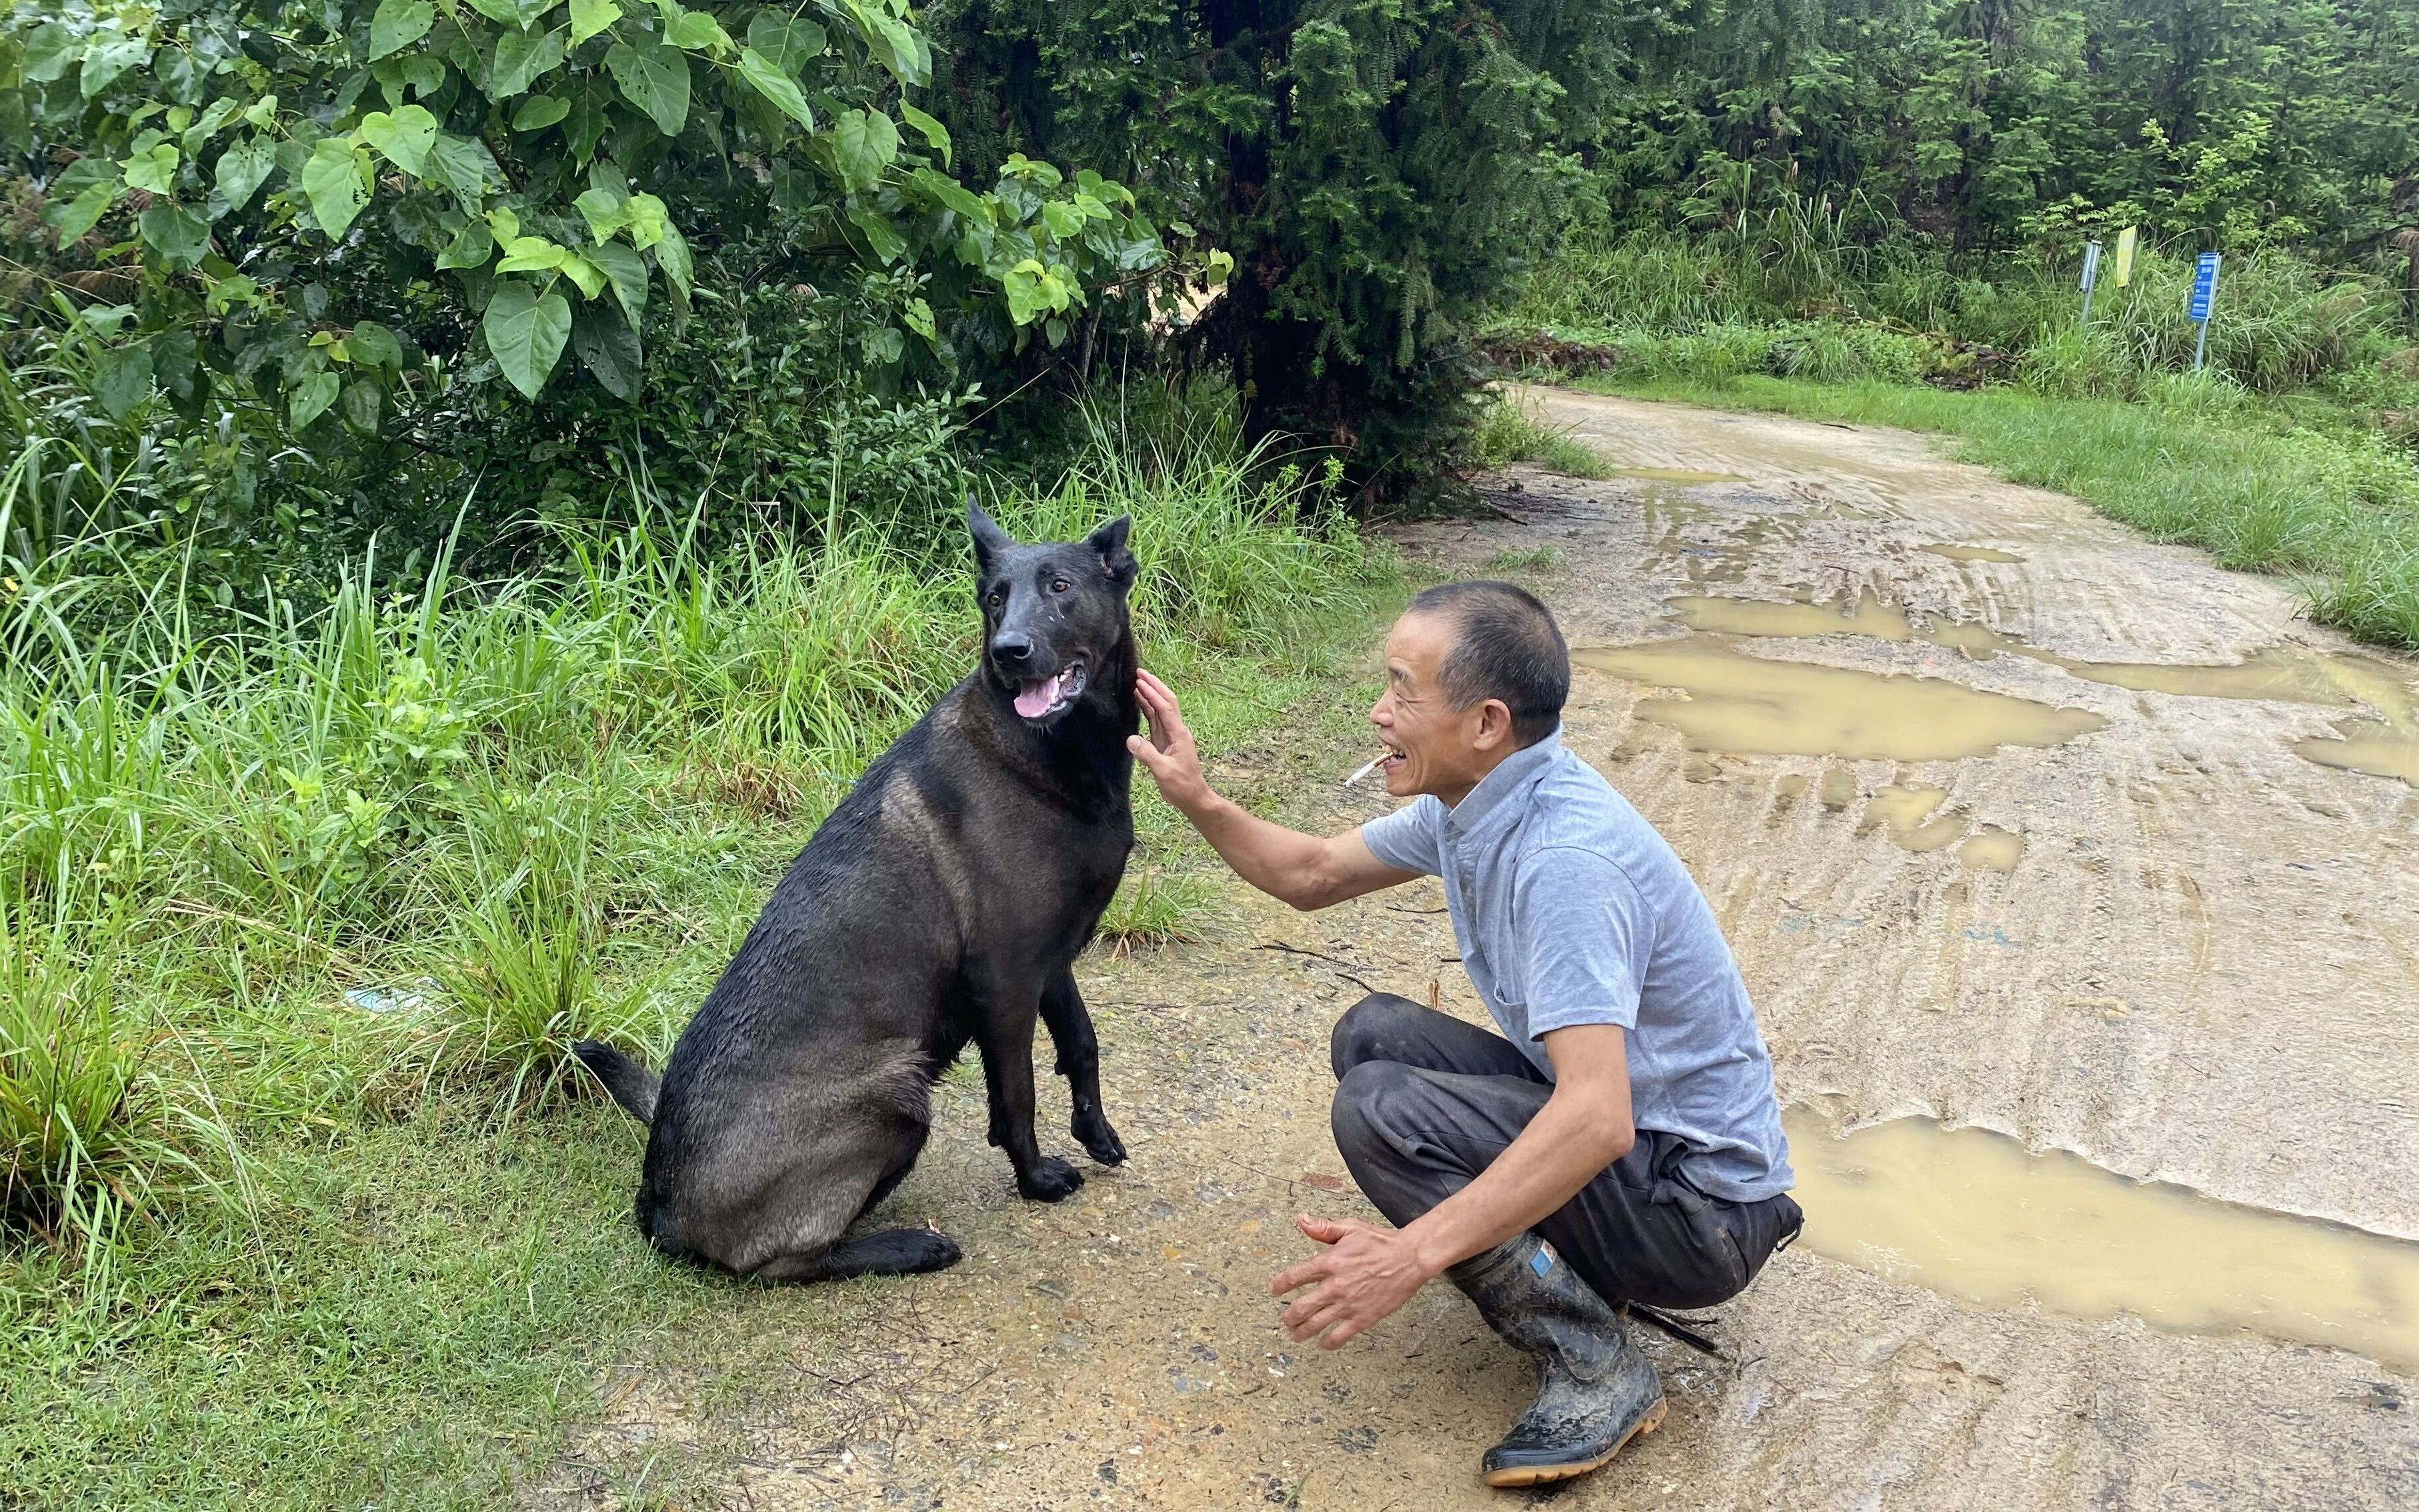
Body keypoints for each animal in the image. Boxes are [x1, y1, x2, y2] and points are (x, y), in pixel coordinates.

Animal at [571, 503, 1137, 1277]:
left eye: (1059, 587)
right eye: (995, 599)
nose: (1010, 652)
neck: (1052, 752)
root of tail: (657, 1203)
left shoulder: (1050, 961)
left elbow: (1082, 1043)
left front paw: (1096, 1131)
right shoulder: (1006, 979)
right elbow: (1015, 1099)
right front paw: (1036, 1179)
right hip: (898, 1094)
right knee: (788, 1264)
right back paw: (907, 1245)